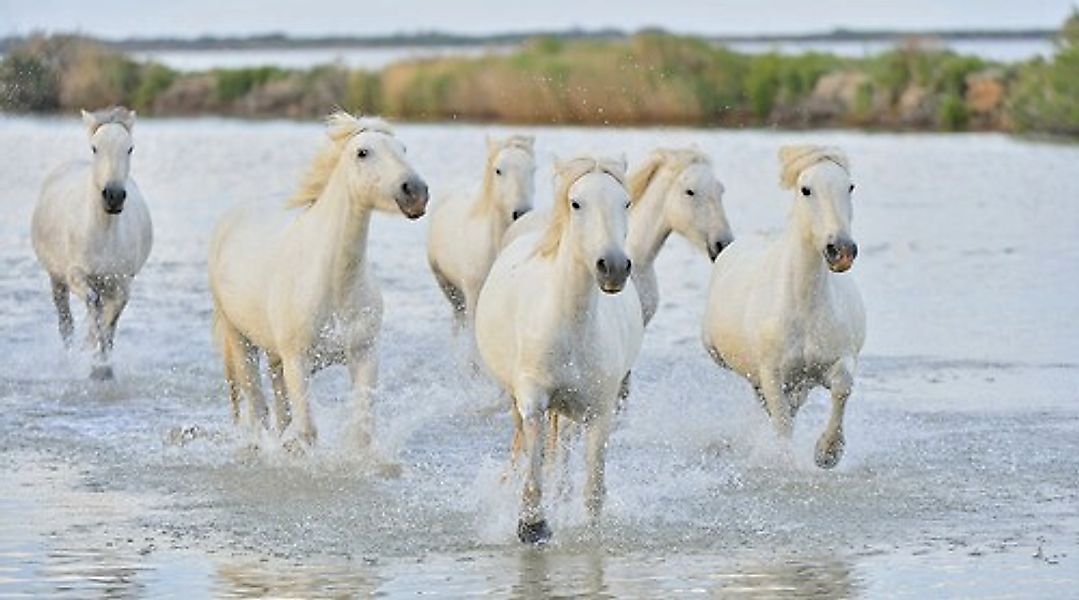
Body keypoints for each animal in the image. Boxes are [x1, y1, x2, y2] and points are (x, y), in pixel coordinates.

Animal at [31, 107, 152, 379]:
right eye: (94, 148)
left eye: (130, 148)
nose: (113, 196)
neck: (103, 233)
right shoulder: (75, 274)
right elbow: (92, 307)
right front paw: (93, 360)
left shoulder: (121, 282)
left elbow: (110, 319)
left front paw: (102, 365)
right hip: (57, 278)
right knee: (66, 321)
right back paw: (69, 357)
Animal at [208, 112, 427, 448]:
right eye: (362, 152)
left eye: (403, 149)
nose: (415, 192)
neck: (334, 284)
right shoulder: (298, 363)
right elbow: (308, 432)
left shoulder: (364, 354)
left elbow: (362, 430)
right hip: (240, 340)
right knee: (258, 409)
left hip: (275, 356)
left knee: (279, 412)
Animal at [479, 154, 643, 543]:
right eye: (576, 203)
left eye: (626, 203)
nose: (613, 267)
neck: (571, 325)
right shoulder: (532, 399)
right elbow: (534, 467)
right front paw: (532, 525)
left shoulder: (600, 411)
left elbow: (594, 487)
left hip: (572, 412)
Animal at [699, 145, 867, 468]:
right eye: (806, 189)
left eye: (850, 186)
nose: (841, 251)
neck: (804, 307)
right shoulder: (772, 374)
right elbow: (782, 423)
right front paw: (785, 461)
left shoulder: (835, 361)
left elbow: (843, 386)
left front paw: (827, 453)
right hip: (717, 352)